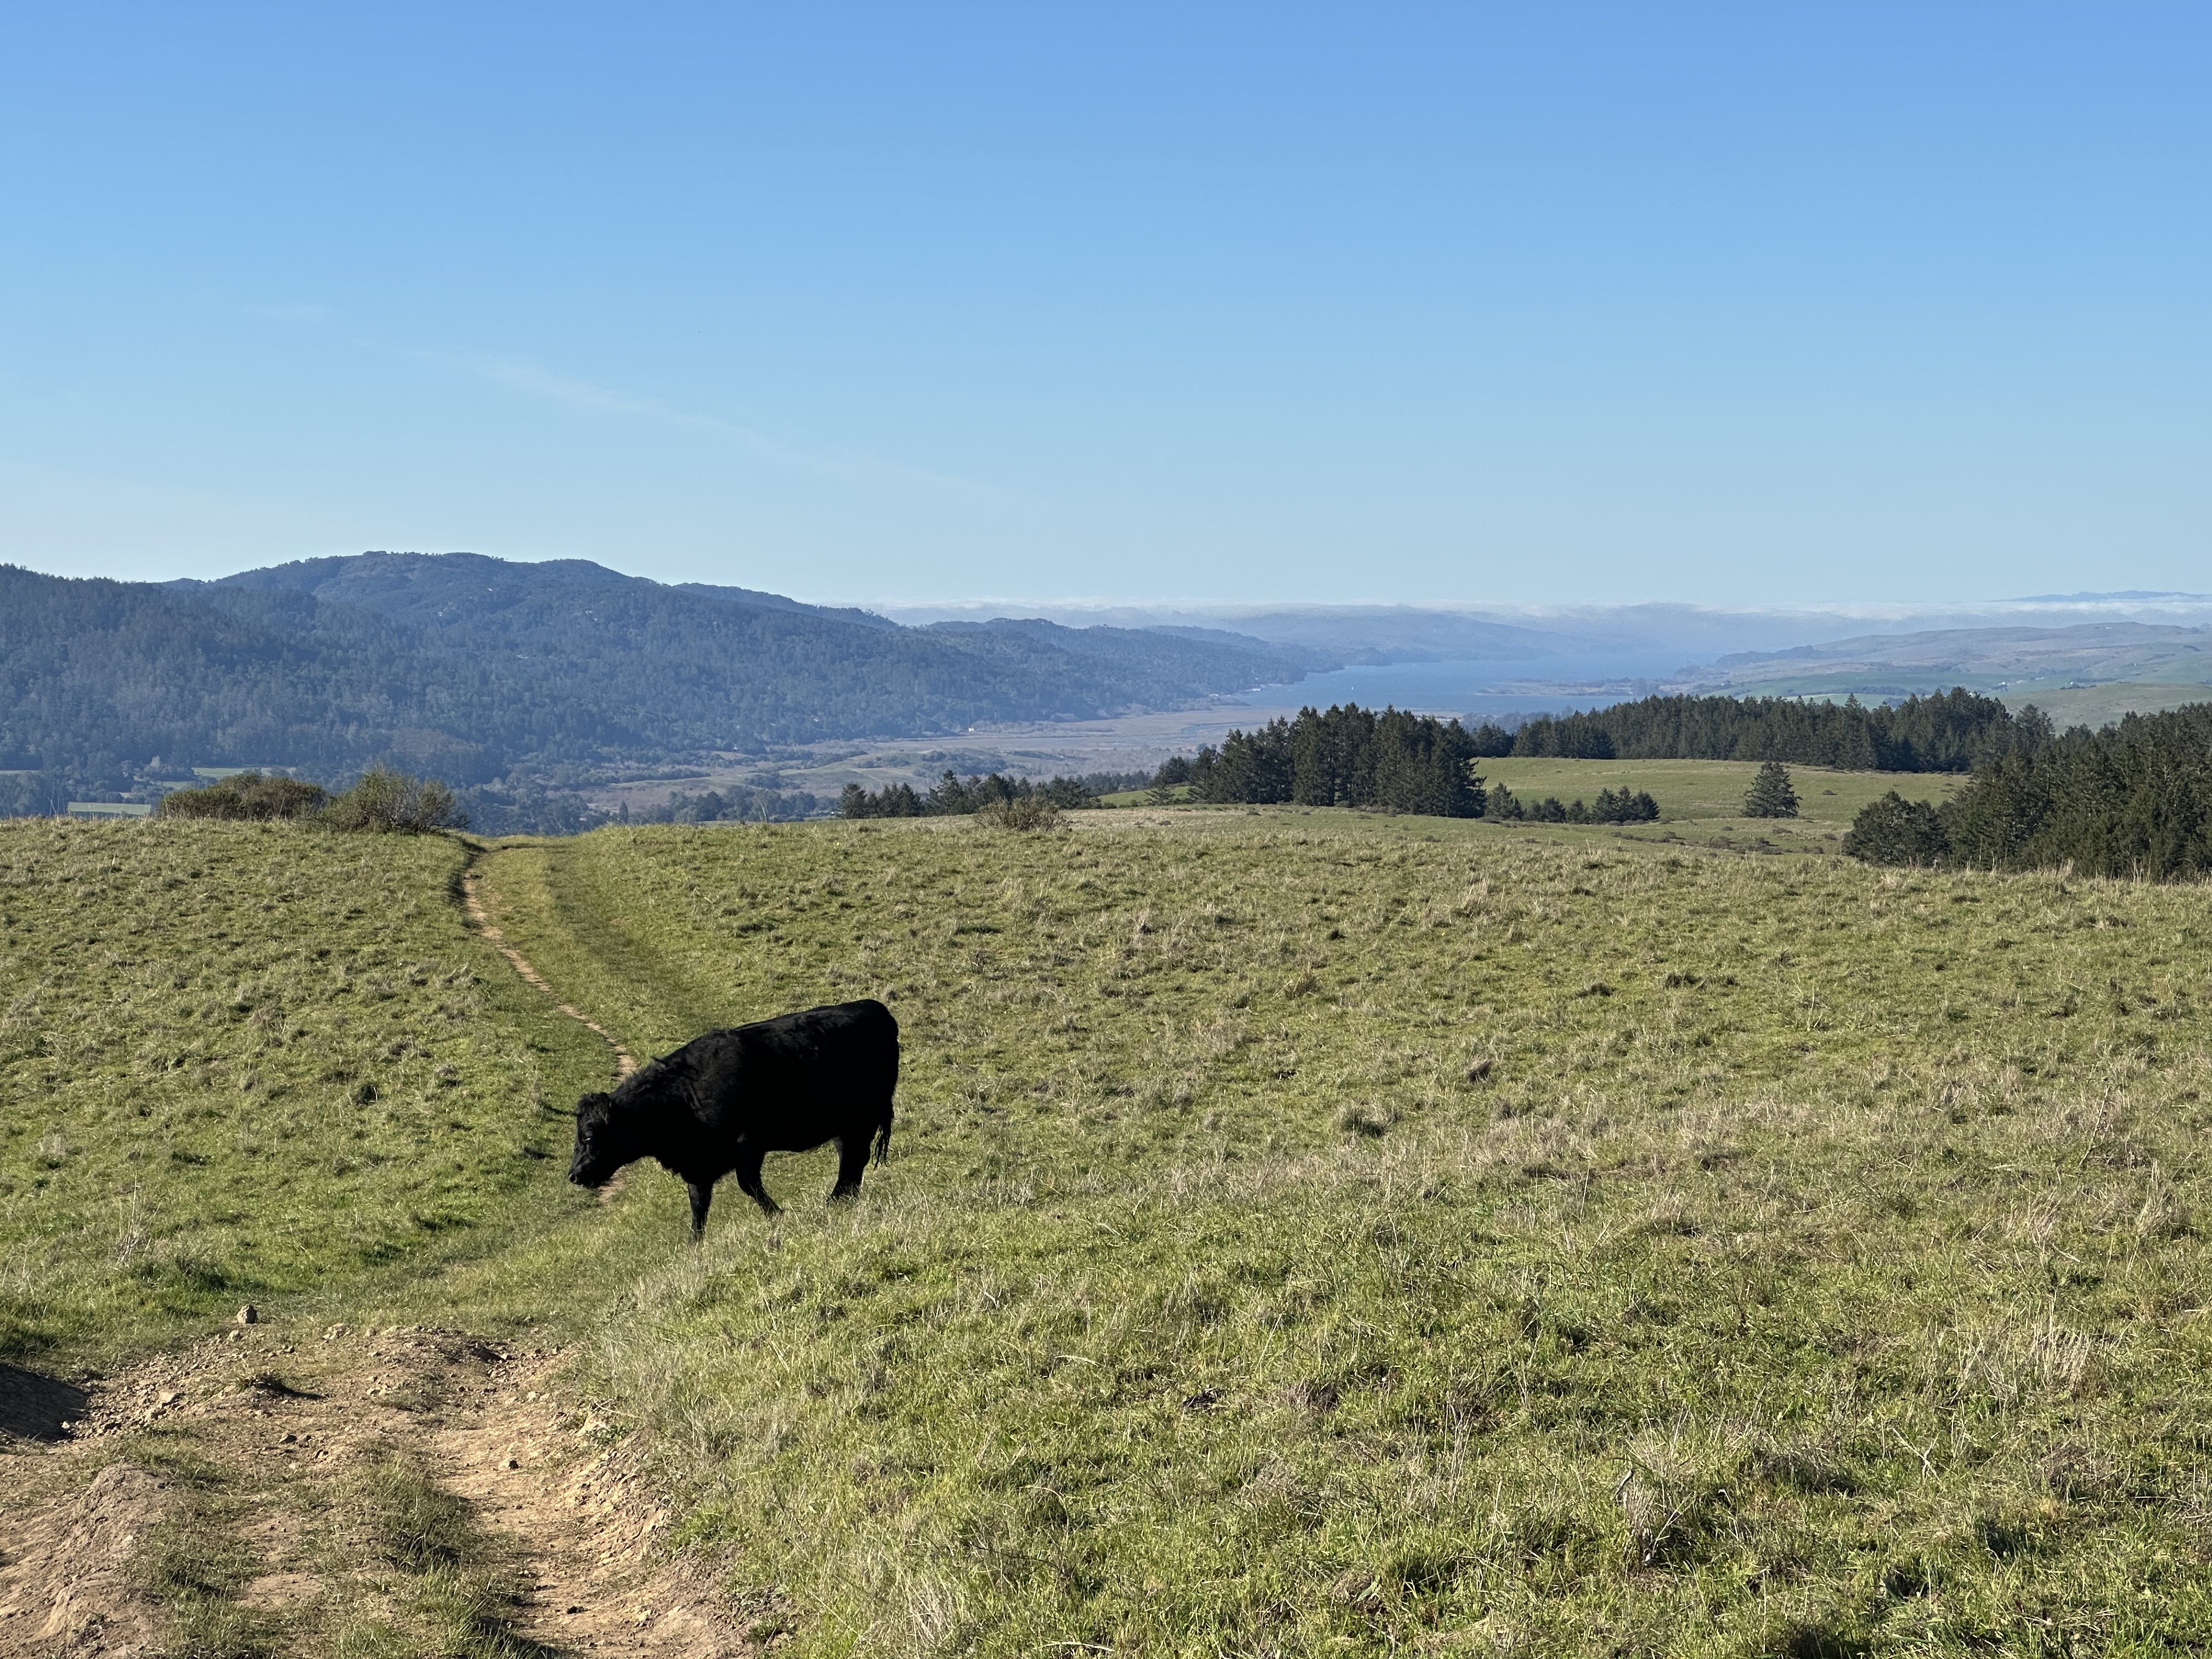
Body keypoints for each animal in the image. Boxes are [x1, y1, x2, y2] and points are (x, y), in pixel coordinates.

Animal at [568, 998, 898, 1239]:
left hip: (863, 1120)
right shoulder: (698, 1166)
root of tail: (875, 1008)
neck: (683, 1095)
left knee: (854, 1160)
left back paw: (836, 1201)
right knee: (851, 1161)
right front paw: (695, 1243)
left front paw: (777, 1215)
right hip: (849, 1126)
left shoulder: (748, 1142)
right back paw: (842, 1200)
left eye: (588, 1135)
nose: (573, 1174)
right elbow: (698, 1205)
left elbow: (748, 1184)